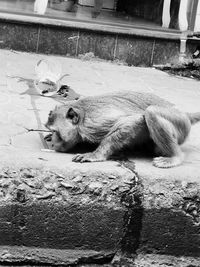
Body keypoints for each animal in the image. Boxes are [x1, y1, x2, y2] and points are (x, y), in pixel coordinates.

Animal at [44, 91, 200, 169]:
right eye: (50, 131)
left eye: (55, 131)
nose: (52, 141)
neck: (82, 115)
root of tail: (184, 113)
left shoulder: (93, 124)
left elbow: (134, 121)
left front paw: (95, 155)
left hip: (180, 123)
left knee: (151, 112)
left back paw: (175, 157)